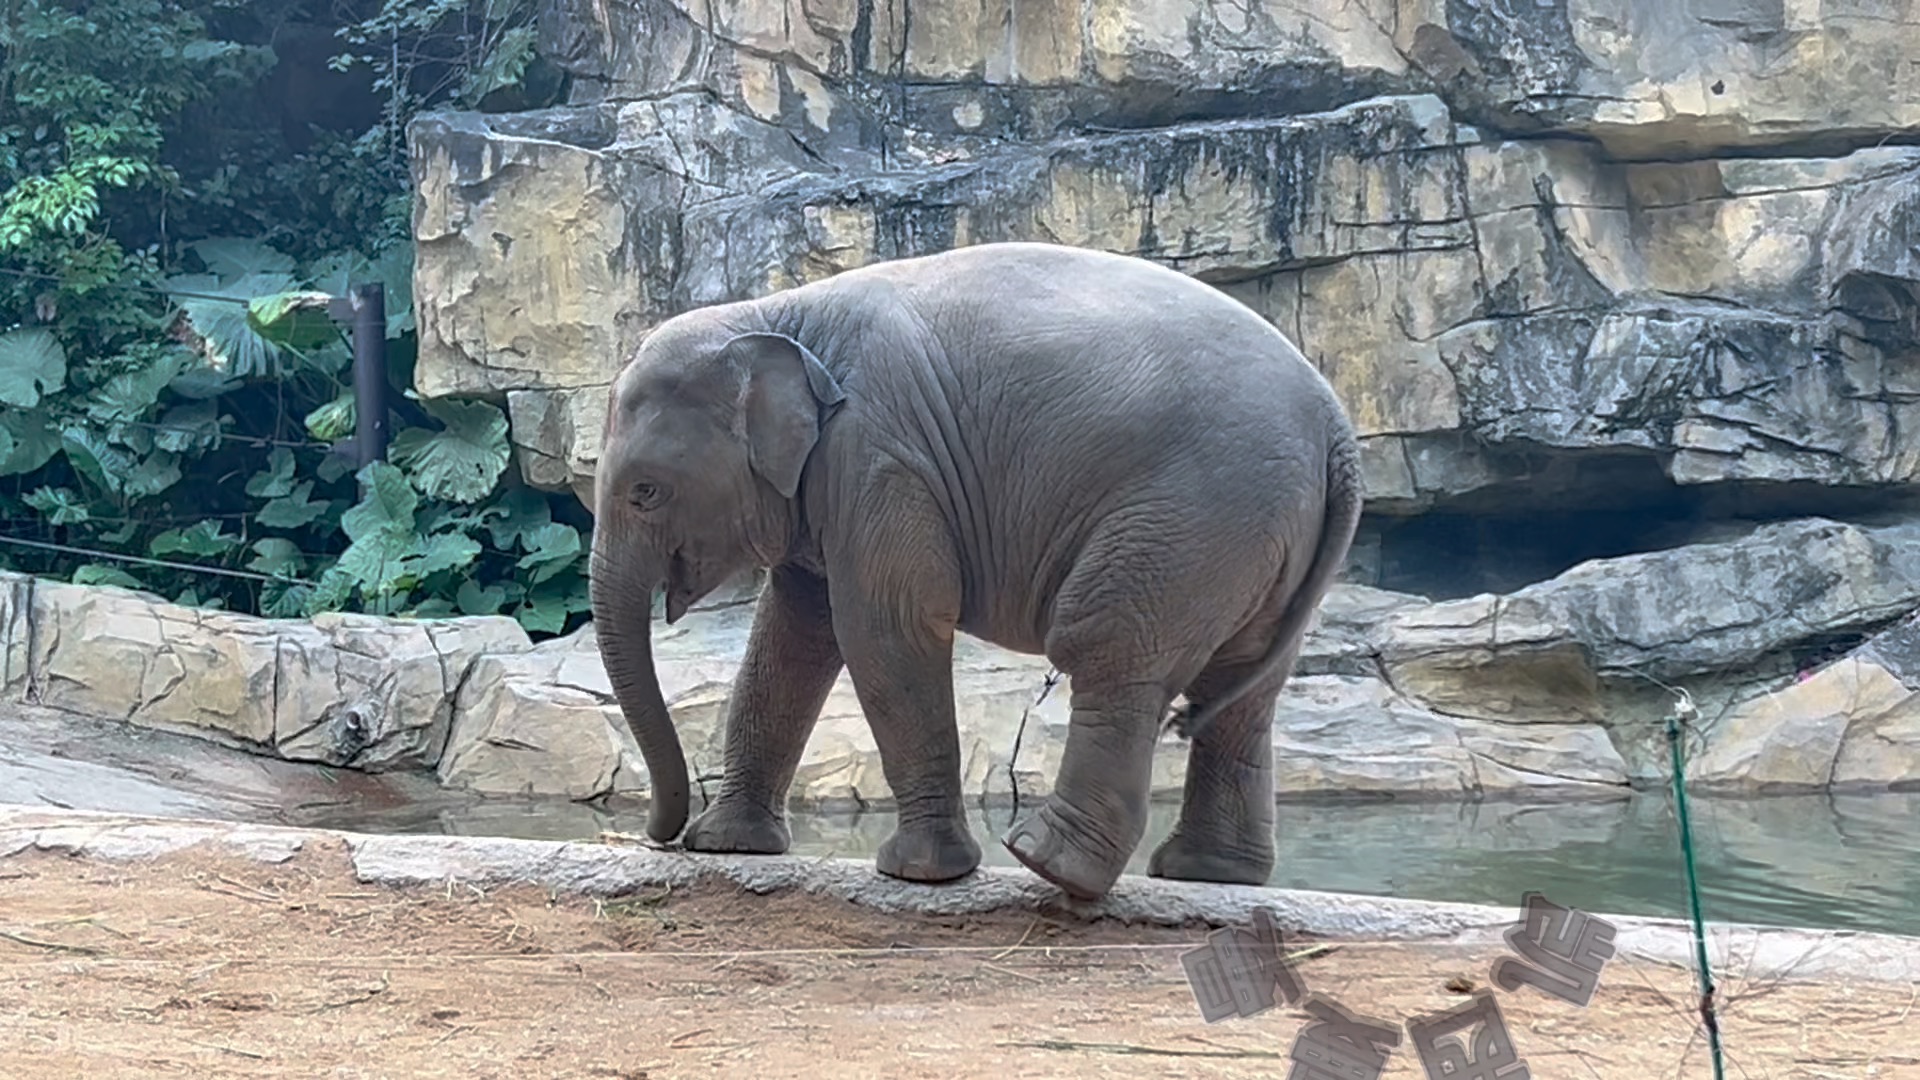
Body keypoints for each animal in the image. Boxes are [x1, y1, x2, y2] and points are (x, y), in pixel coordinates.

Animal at [591, 239, 1359, 895]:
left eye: (645, 491)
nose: (659, 835)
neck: (779, 313)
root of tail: (1336, 426)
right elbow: (793, 637)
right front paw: (728, 844)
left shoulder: (881, 459)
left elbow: (886, 629)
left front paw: (917, 873)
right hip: (1258, 539)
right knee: (1241, 690)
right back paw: (1210, 874)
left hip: (1191, 517)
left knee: (1108, 649)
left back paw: (1051, 865)